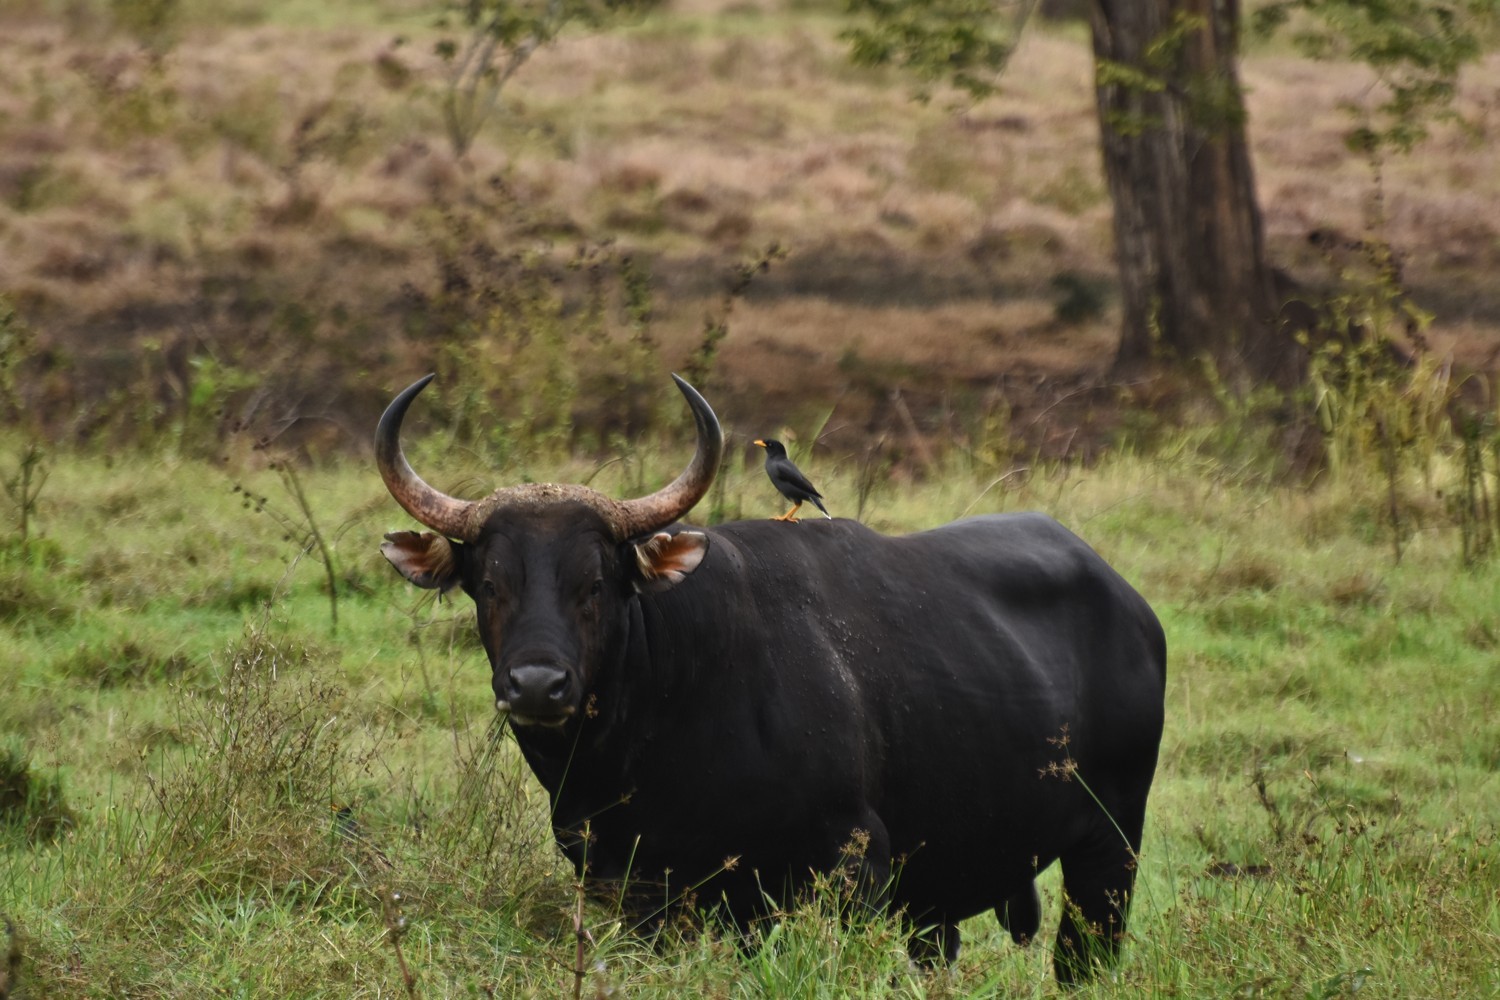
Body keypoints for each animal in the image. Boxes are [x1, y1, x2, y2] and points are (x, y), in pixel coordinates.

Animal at [378, 371, 1170, 983]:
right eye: (488, 583)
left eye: (597, 582)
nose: (537, 685)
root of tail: (1133, 605)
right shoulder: (634, 889)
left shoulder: (852, 866)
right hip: (941, 895)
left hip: (1109, 852)